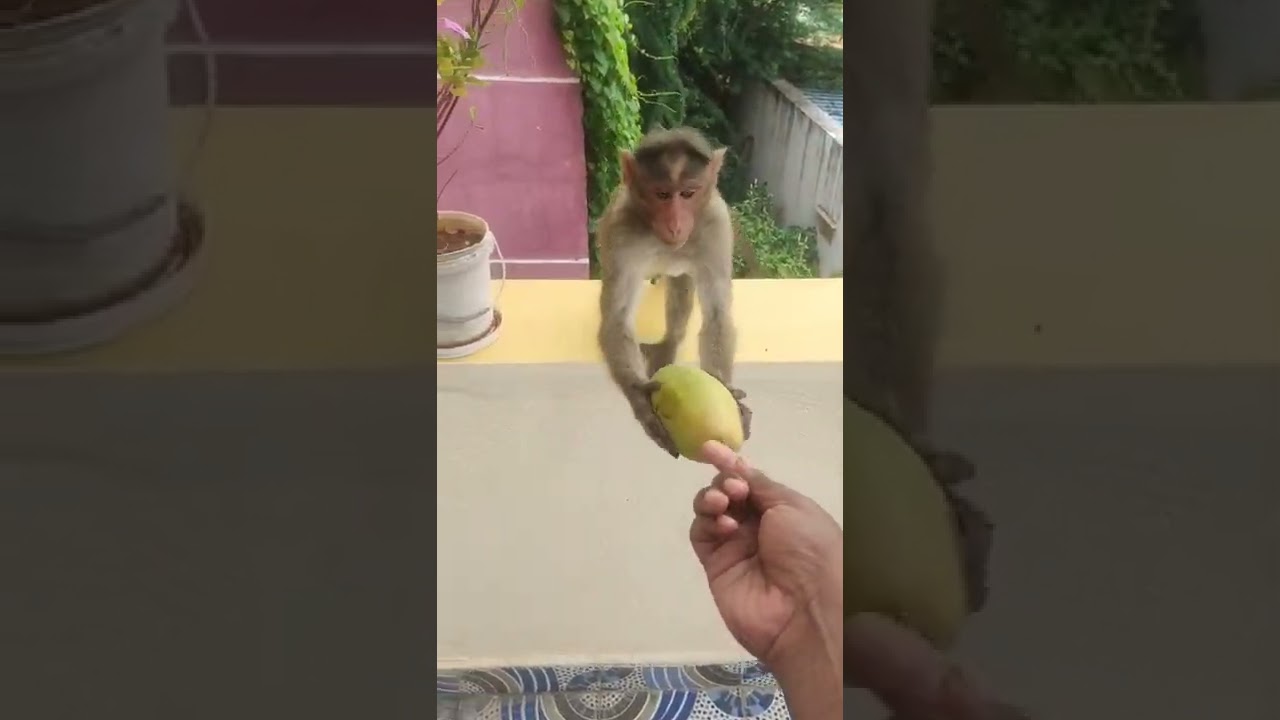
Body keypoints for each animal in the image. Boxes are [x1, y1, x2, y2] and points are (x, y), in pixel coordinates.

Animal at [596, 127, 751, 458]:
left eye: (688, 194)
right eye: (662, 194)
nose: (675, 224)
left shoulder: (716, 225)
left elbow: (717, 314)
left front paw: (726, 389)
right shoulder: (620, 230)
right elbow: (617, 317)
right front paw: (640, 398)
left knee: (683, 283)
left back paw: (670, 341)